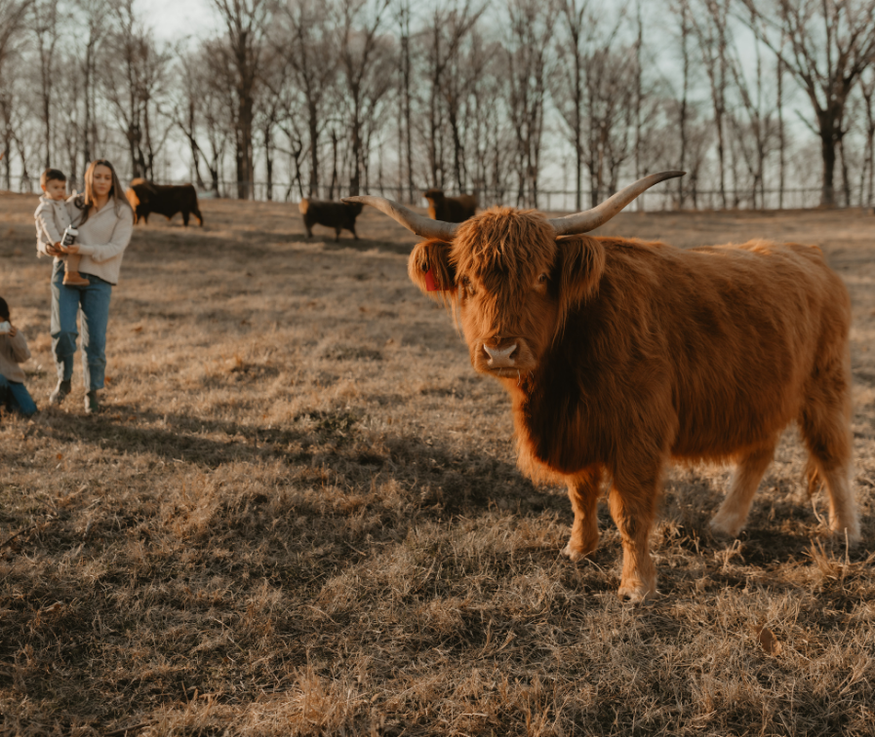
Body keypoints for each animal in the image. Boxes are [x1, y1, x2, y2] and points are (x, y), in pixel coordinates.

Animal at [344, 171, 861, 603]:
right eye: (468, 281)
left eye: (541, 277)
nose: (500, 351)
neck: (559, 375)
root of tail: (807, 252)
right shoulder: (578, 426)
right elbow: (581, 492)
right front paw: (579, 548)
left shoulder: (637, 429)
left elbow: (630, 510)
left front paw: (636, 585)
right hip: (762, 394)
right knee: (759, 452)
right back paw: (724, 524)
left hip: (824, 384)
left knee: (832, 455)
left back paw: (845, 531)